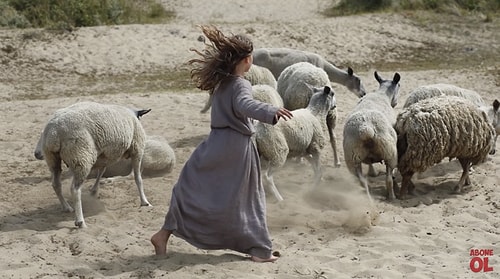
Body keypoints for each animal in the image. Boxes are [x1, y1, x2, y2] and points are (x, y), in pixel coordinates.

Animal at [35, 101, 152, 229]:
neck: (132, 114)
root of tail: (54, 130)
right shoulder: (137, 149)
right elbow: (138, 178)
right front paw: (144, 201)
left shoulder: (104, 155)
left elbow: (101, 171)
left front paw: (94, 191)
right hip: (81, 157)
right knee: (75, 189)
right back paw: (80, 221)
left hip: (52, 158)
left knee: (56, 184)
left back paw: (66, 207)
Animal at [342, 70, 400, 201]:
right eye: (399, 86)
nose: (395, 103)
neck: (382, 94)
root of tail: (366, 129)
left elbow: (370, 162)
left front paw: (372, 172)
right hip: (390, 154)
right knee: (388, 179)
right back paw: (392, 196)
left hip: (353, 158)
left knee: (362, 182)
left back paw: (367, 199)